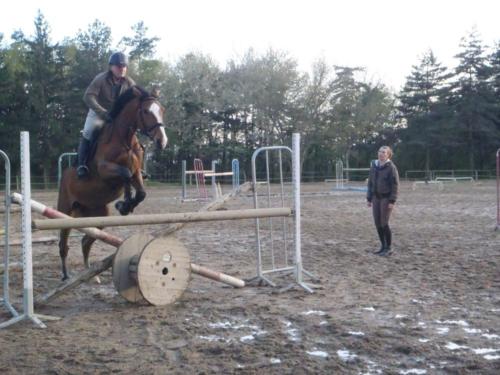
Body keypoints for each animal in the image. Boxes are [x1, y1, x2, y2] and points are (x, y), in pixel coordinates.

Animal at [57, 84, 168, 280]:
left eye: (161, 110)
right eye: (146, 111)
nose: (162, 141)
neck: (125, 140)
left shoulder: (137, 173)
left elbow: (140, 191)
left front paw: (127, 204)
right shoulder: (105, 169)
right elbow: (124, 173)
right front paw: (124, 204)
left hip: (100, 216)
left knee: (86, 241)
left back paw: (91, 273)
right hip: (65, 212)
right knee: (63, 245)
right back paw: (65, 276)